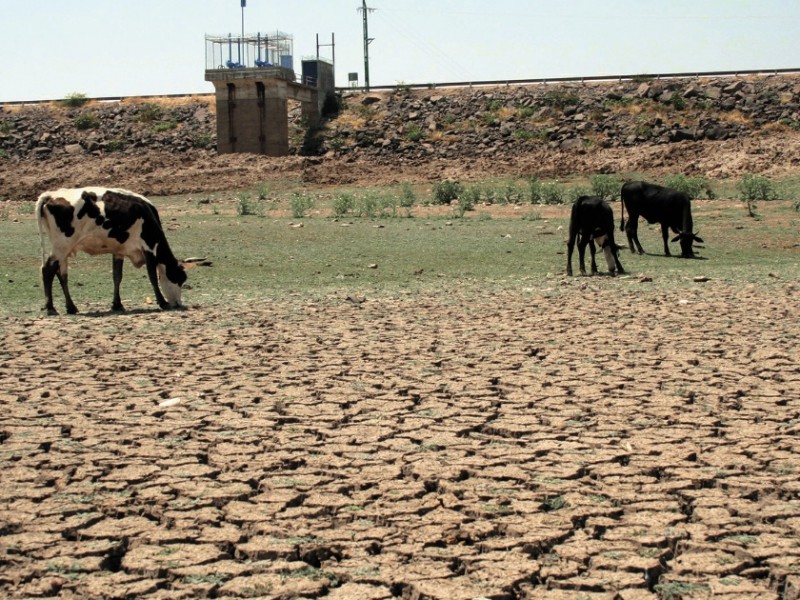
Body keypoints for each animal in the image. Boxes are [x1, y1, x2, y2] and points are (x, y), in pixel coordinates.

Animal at [37, 186, 189, 316]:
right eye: (180, 278)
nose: (178, 303)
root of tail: (51, 195)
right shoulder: (149, 248)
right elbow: (152, 277)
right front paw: (163, 302)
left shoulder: (118, 252)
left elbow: (117, 276)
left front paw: (117, 304)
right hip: (62, 246)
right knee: (48, 270)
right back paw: (51, 308)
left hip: (63, 250)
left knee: (62, 275)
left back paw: (71, 307)